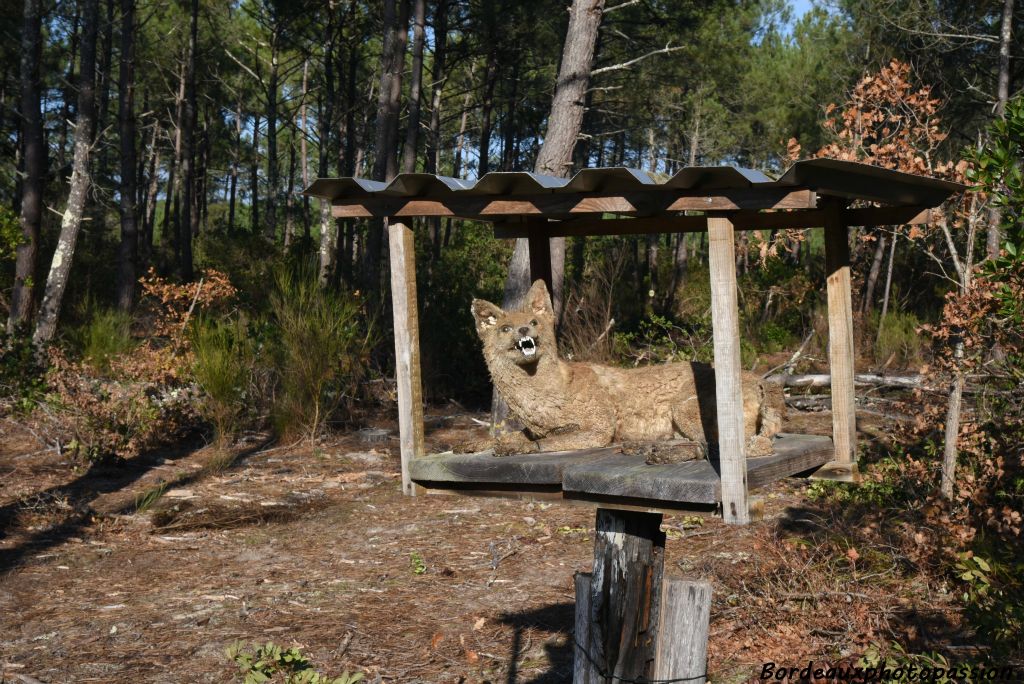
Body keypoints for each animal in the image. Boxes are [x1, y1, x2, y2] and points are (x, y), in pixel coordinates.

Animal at [471, 278, 782, 458]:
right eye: (504, 328)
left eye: (534, 322)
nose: (524, 330)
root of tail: (760, 381)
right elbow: (508, 434)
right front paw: (478, 444)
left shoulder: (600, 424)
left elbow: (549, 441)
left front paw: (516, 447)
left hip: (686, 408)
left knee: (744, 446)